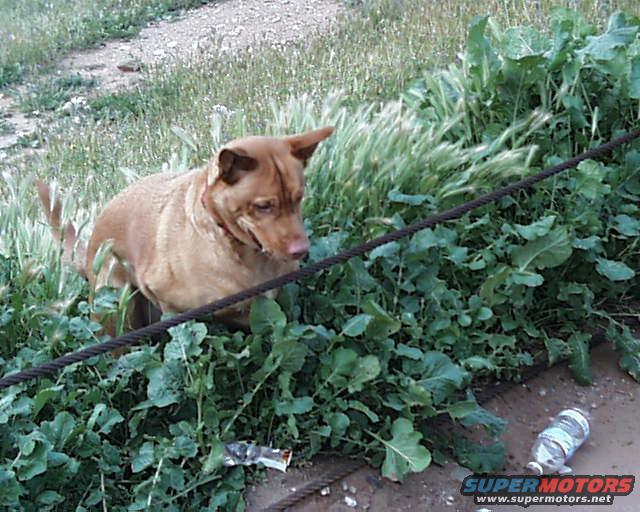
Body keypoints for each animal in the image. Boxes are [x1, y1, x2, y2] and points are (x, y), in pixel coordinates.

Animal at [38, 127, 336, 334]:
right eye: (263, 206)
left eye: (299, 198)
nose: (301, 251)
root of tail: (91, 243)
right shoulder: (171, 308)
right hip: (118, 311)